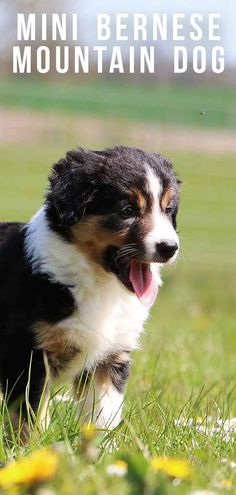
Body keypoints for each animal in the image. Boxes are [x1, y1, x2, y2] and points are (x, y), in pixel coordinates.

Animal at [0, 145, 180, 432]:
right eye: (127, 209)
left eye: (168, 209)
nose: (169, 247)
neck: (101, 284)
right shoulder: (27, 355)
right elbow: (28, 421)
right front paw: (30, 445)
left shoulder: (109, 359)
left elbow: (102, 419)